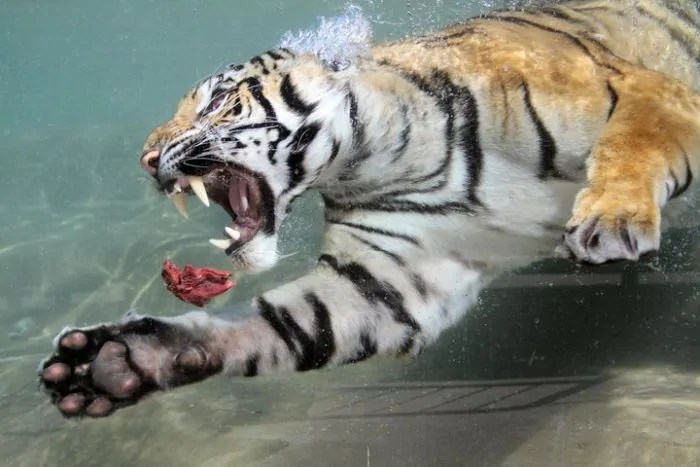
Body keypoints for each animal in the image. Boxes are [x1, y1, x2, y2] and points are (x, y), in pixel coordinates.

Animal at [40, 0, 700, 418]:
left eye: (217, 102)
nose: (147, 159)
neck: (381, 156)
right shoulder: (385, 279)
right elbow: (279, 325)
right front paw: (116, 362)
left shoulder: (650, 91)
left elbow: (632, 142)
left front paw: (611, 219)